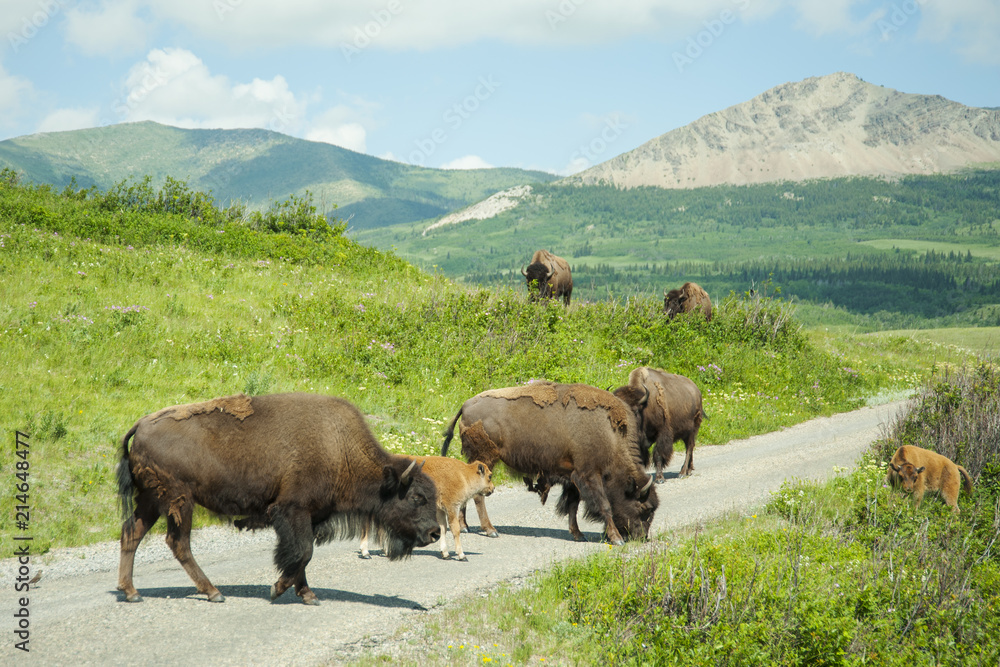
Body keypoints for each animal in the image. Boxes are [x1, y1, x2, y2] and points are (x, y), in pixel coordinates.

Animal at [115, 394, 440, 608]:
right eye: (416, 497)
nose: (435, 532)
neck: (339, 446)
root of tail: (141, 425)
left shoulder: (311, 517)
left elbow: (302, 557)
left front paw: (307, 595)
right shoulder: (292, 511)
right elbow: (302, 553)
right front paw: (278, 590)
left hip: (152, 501)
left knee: (132, 532)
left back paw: (131, 592)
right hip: (179, 501)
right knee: (178, 542)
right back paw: (213, 592)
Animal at [364, 456, 496, 560]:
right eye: (490, 476)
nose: (493, 488)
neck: (463, 475)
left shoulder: (441, 510)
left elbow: (443, 529)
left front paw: (445, 554)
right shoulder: (452, 508)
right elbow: (455, 530)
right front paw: (462, 555)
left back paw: (384, 551)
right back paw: (366, 553)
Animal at [440, 384, 656, 544]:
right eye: (644, 508)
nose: (642, 537)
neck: (609, 434)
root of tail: (466, 405)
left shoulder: (573, 477)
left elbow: (573, 506)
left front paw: (578, 535)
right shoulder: (589, 475)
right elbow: (604, 505)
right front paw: (616, 539)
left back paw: (465, 527)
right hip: (487, 459)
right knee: (479, 496)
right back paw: (490, 530)